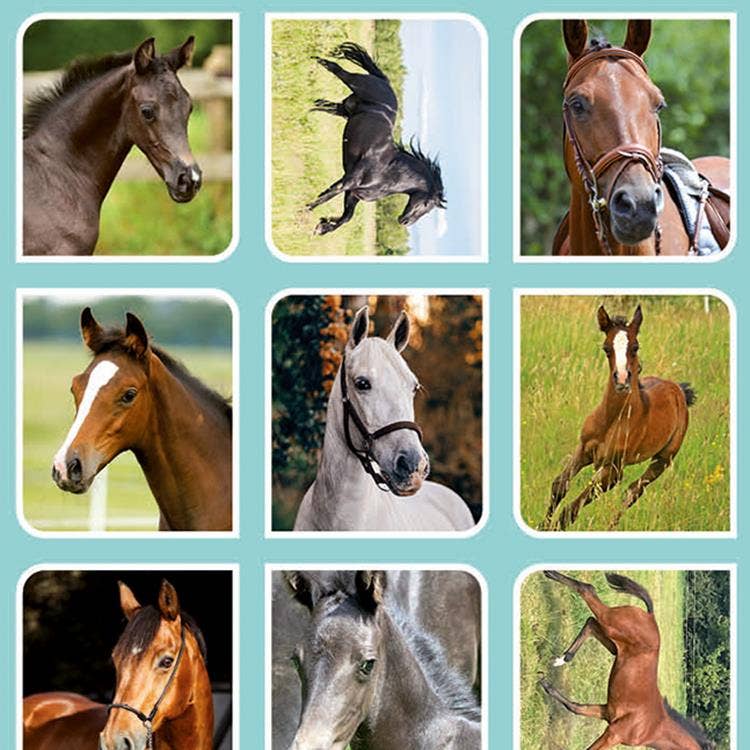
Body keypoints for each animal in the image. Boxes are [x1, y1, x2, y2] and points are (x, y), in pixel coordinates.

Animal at [306, 42, 446, 236]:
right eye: (426, 205)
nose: (404, 221)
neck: (388, 172)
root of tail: (384, 82)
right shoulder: (349, 181)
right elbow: (328, 195)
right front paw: (304, 212)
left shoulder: (354, 193)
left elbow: (346, 217)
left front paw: (323, 227)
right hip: (353, 82)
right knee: (334, 67)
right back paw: (311, 59)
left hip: (345, 109)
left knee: (322, 104)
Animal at [538, 571, 715, 750]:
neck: (653, 727)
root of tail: (650, 616)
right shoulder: (613, 734)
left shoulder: (606, 712)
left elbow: (575, 707)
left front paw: (545, 684)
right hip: (611, 623)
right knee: (588, 590)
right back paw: (549, 573)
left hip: (613, 642)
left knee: (591, 623)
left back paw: (562, 659)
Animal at [543, 305, 694, 531]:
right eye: (606, 348)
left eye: (635, 347)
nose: (622, 380)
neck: (611, 420)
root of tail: (678, 389)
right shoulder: (583, 449)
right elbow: (559, 486)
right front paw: (541, 526)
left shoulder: (614, 470)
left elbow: (571, 510)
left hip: (663, 459)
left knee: (633, 492)